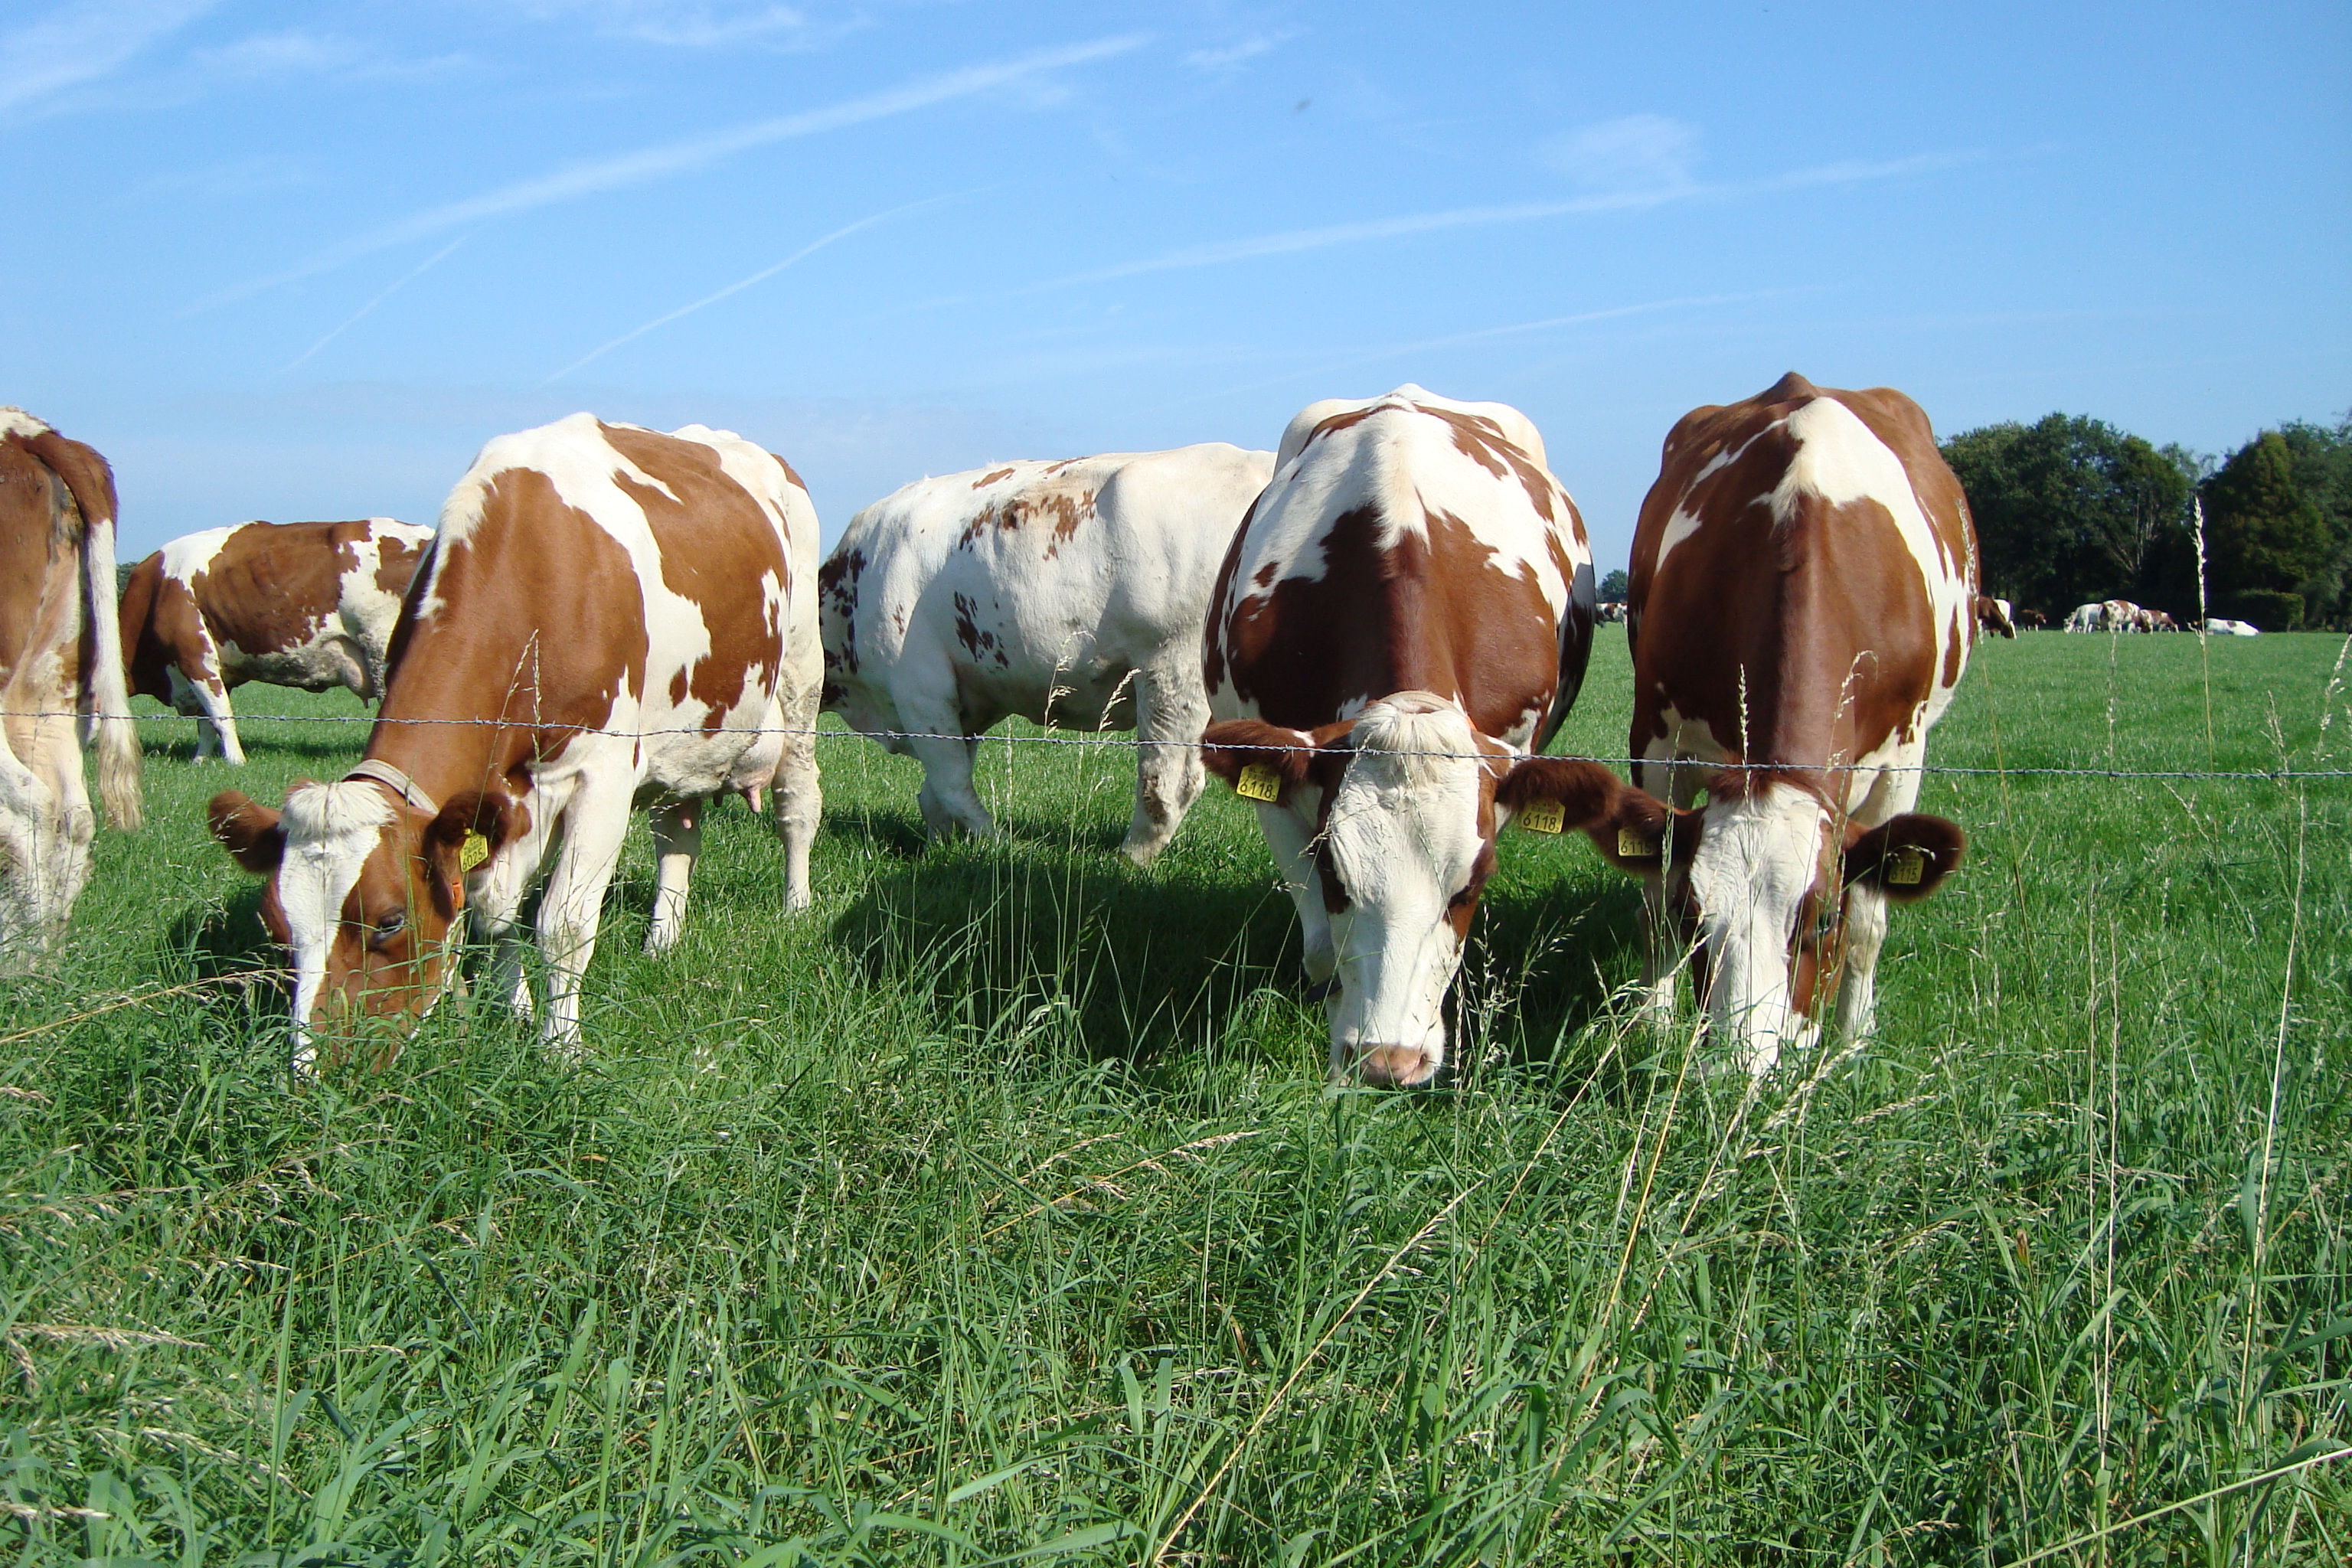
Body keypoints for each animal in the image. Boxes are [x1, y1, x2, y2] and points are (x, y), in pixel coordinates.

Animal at [208, 415, 822, 1065]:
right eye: (278, 926)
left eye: (389, 920)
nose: (311, 1070)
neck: (531, 572)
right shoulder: (502, 795)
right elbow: (491, 909)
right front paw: (517, 1011)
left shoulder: (602, 772)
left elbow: (563, 921)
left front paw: (561, 1049)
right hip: (686, 734)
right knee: (677, 834)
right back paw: (662, 941)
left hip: (799, 684)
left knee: (797, 807)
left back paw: (795, 907)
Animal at [821, 444, 1274, 866]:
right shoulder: (963, 706)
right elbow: (936, 791)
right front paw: (941, 845)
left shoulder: (919, 690)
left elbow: (952, 783)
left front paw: (1001, 845)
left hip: (1173, 669)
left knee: (1166, 782)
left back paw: (1126, 860)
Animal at [1616, 373, 1973, 1074]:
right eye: (1696, 916)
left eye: (1822, 920)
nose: (1742, 1068)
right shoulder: (1657, 738)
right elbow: (1652, 896)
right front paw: (1654, 1026)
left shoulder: (1904, 759)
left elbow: (1870, 921)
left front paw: (1853, 1037)